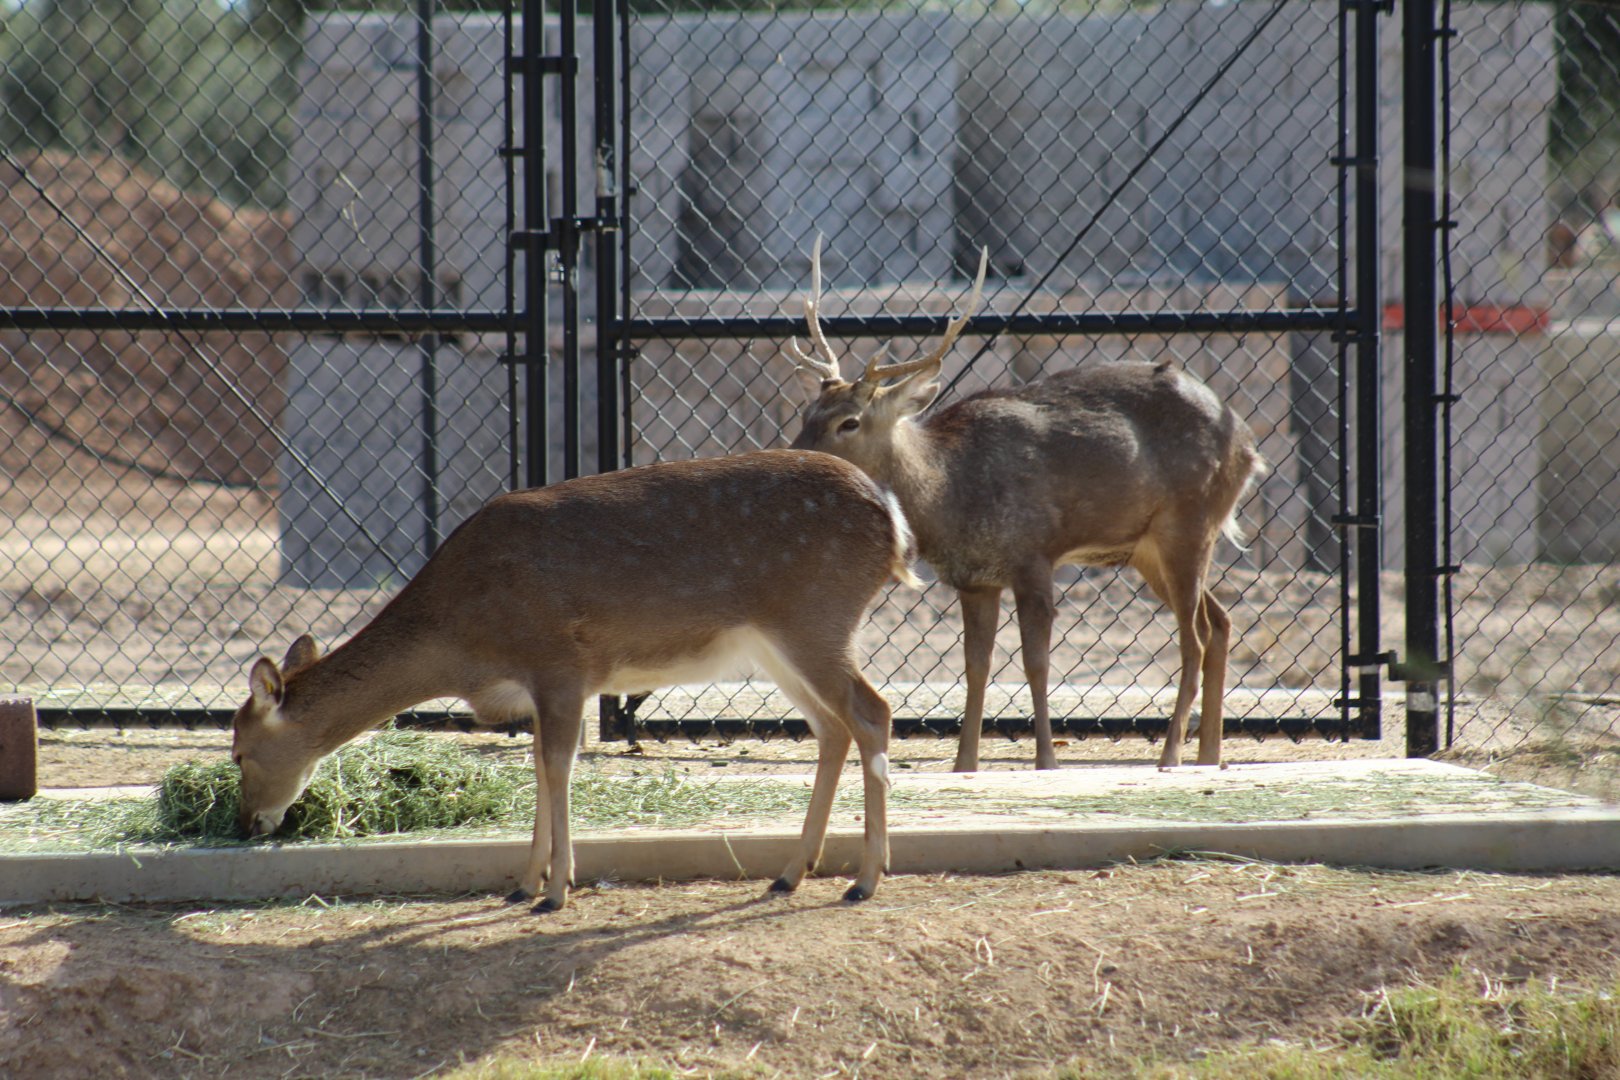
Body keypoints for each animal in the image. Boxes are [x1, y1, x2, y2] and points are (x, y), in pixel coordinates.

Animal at [231, 449, 919, 912]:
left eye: (237, 751)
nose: (246, 824)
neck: (462, 638)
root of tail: (893, 523)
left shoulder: (560, 664)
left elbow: (557, 767)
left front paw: (556, 889)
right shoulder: (541, 688)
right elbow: (539, 766)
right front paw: (522, 883)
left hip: (816, 619)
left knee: (874, 712)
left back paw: (865, 879)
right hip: (777, 645)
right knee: (832, 727)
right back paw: (790, 872)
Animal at [783, 239, 1265, 773]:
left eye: (849, 421)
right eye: (809, 412)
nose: (793, 451)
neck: (949, 494)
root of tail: (1248, 445)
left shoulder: (1033, 554)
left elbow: (1036, 662)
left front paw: (1045, 761)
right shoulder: (975, 579)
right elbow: (976, 666)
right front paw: (964, 764)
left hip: (1190, 520)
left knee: (1193, 637)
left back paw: (1172, 755)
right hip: (1150, 549)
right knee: (1220, 623)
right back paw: (1210, 755)